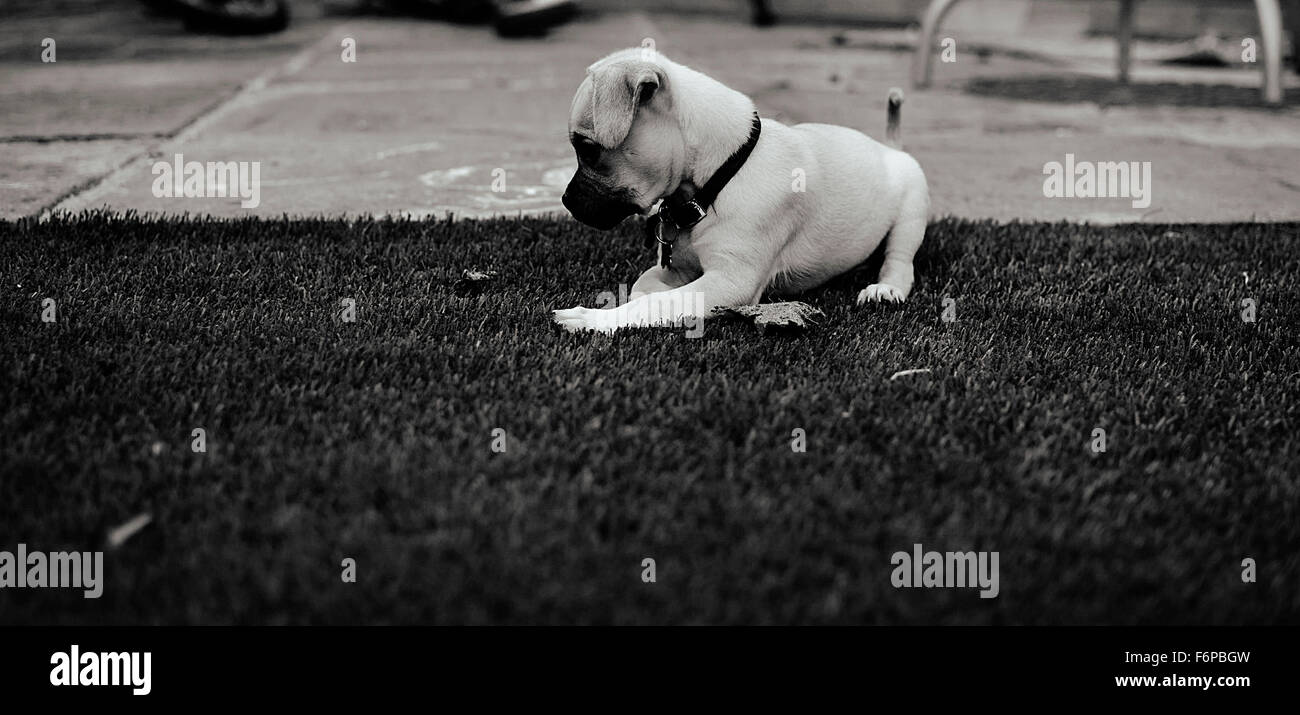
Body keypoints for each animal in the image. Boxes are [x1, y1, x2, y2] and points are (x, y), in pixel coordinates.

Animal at [553, 49, 930, 335]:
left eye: (587, 149)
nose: (566, 201)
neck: (718, 181)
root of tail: (889, 147)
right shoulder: (679, 270)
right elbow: (643, 290)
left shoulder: (730, 283)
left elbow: (655, 302)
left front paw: (593, 319)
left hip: (910, 216)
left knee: (900, 261)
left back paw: (884, 289)